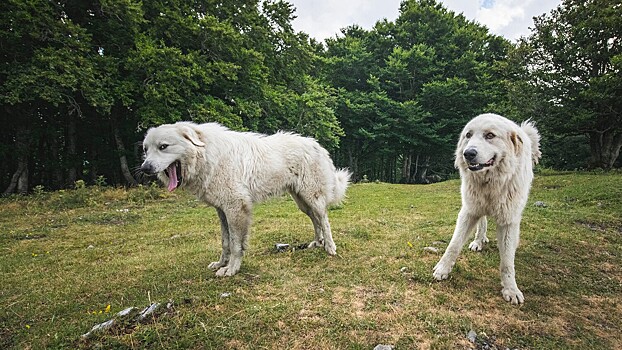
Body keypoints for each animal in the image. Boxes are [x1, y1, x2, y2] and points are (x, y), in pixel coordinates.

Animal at [143, 121, 354, 278]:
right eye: (146, 149)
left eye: (163, 146)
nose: (145, 168)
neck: (206, 154)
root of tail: (317, 144)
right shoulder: (222, 210)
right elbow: (225, 242)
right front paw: (221, 263)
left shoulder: (236, 208)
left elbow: (236, 244)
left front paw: (231, 269)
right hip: (302, 202)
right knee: (315, 220)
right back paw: (317, 243)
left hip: (312, 197)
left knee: (324, 220)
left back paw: (330, 247)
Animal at [434, 113, 540, 304]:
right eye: (468, 135)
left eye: (490, 135)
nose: (468, 153)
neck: (490, 182)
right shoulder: (469, 211)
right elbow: (453, 245)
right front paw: (442, 269)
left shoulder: (508, 220)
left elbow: (507, 262)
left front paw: (511, 289)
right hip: (478, 207)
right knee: (482, 222)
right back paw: (478, 241)